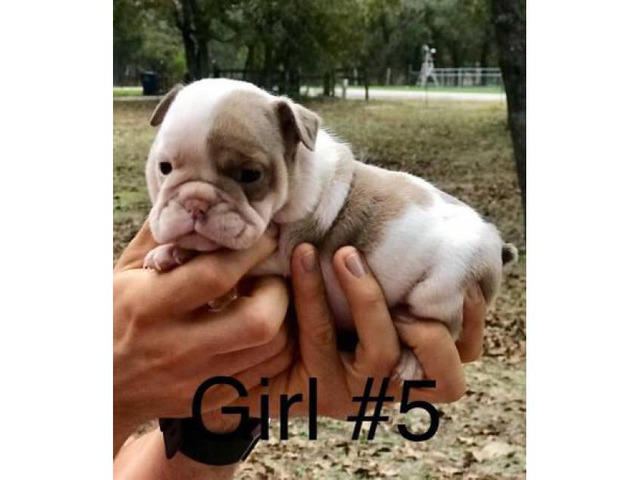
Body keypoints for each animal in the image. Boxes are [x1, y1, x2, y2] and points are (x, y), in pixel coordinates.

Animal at [141, 78, 516, 378]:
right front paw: (167, 251)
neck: (297, 173)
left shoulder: (281, 250)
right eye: (164, 167)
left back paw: (411, 362)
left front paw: (175, 251)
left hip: (444, 287)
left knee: (445, 325)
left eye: (250, 175)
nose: (195, 203)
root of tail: (497, 244)